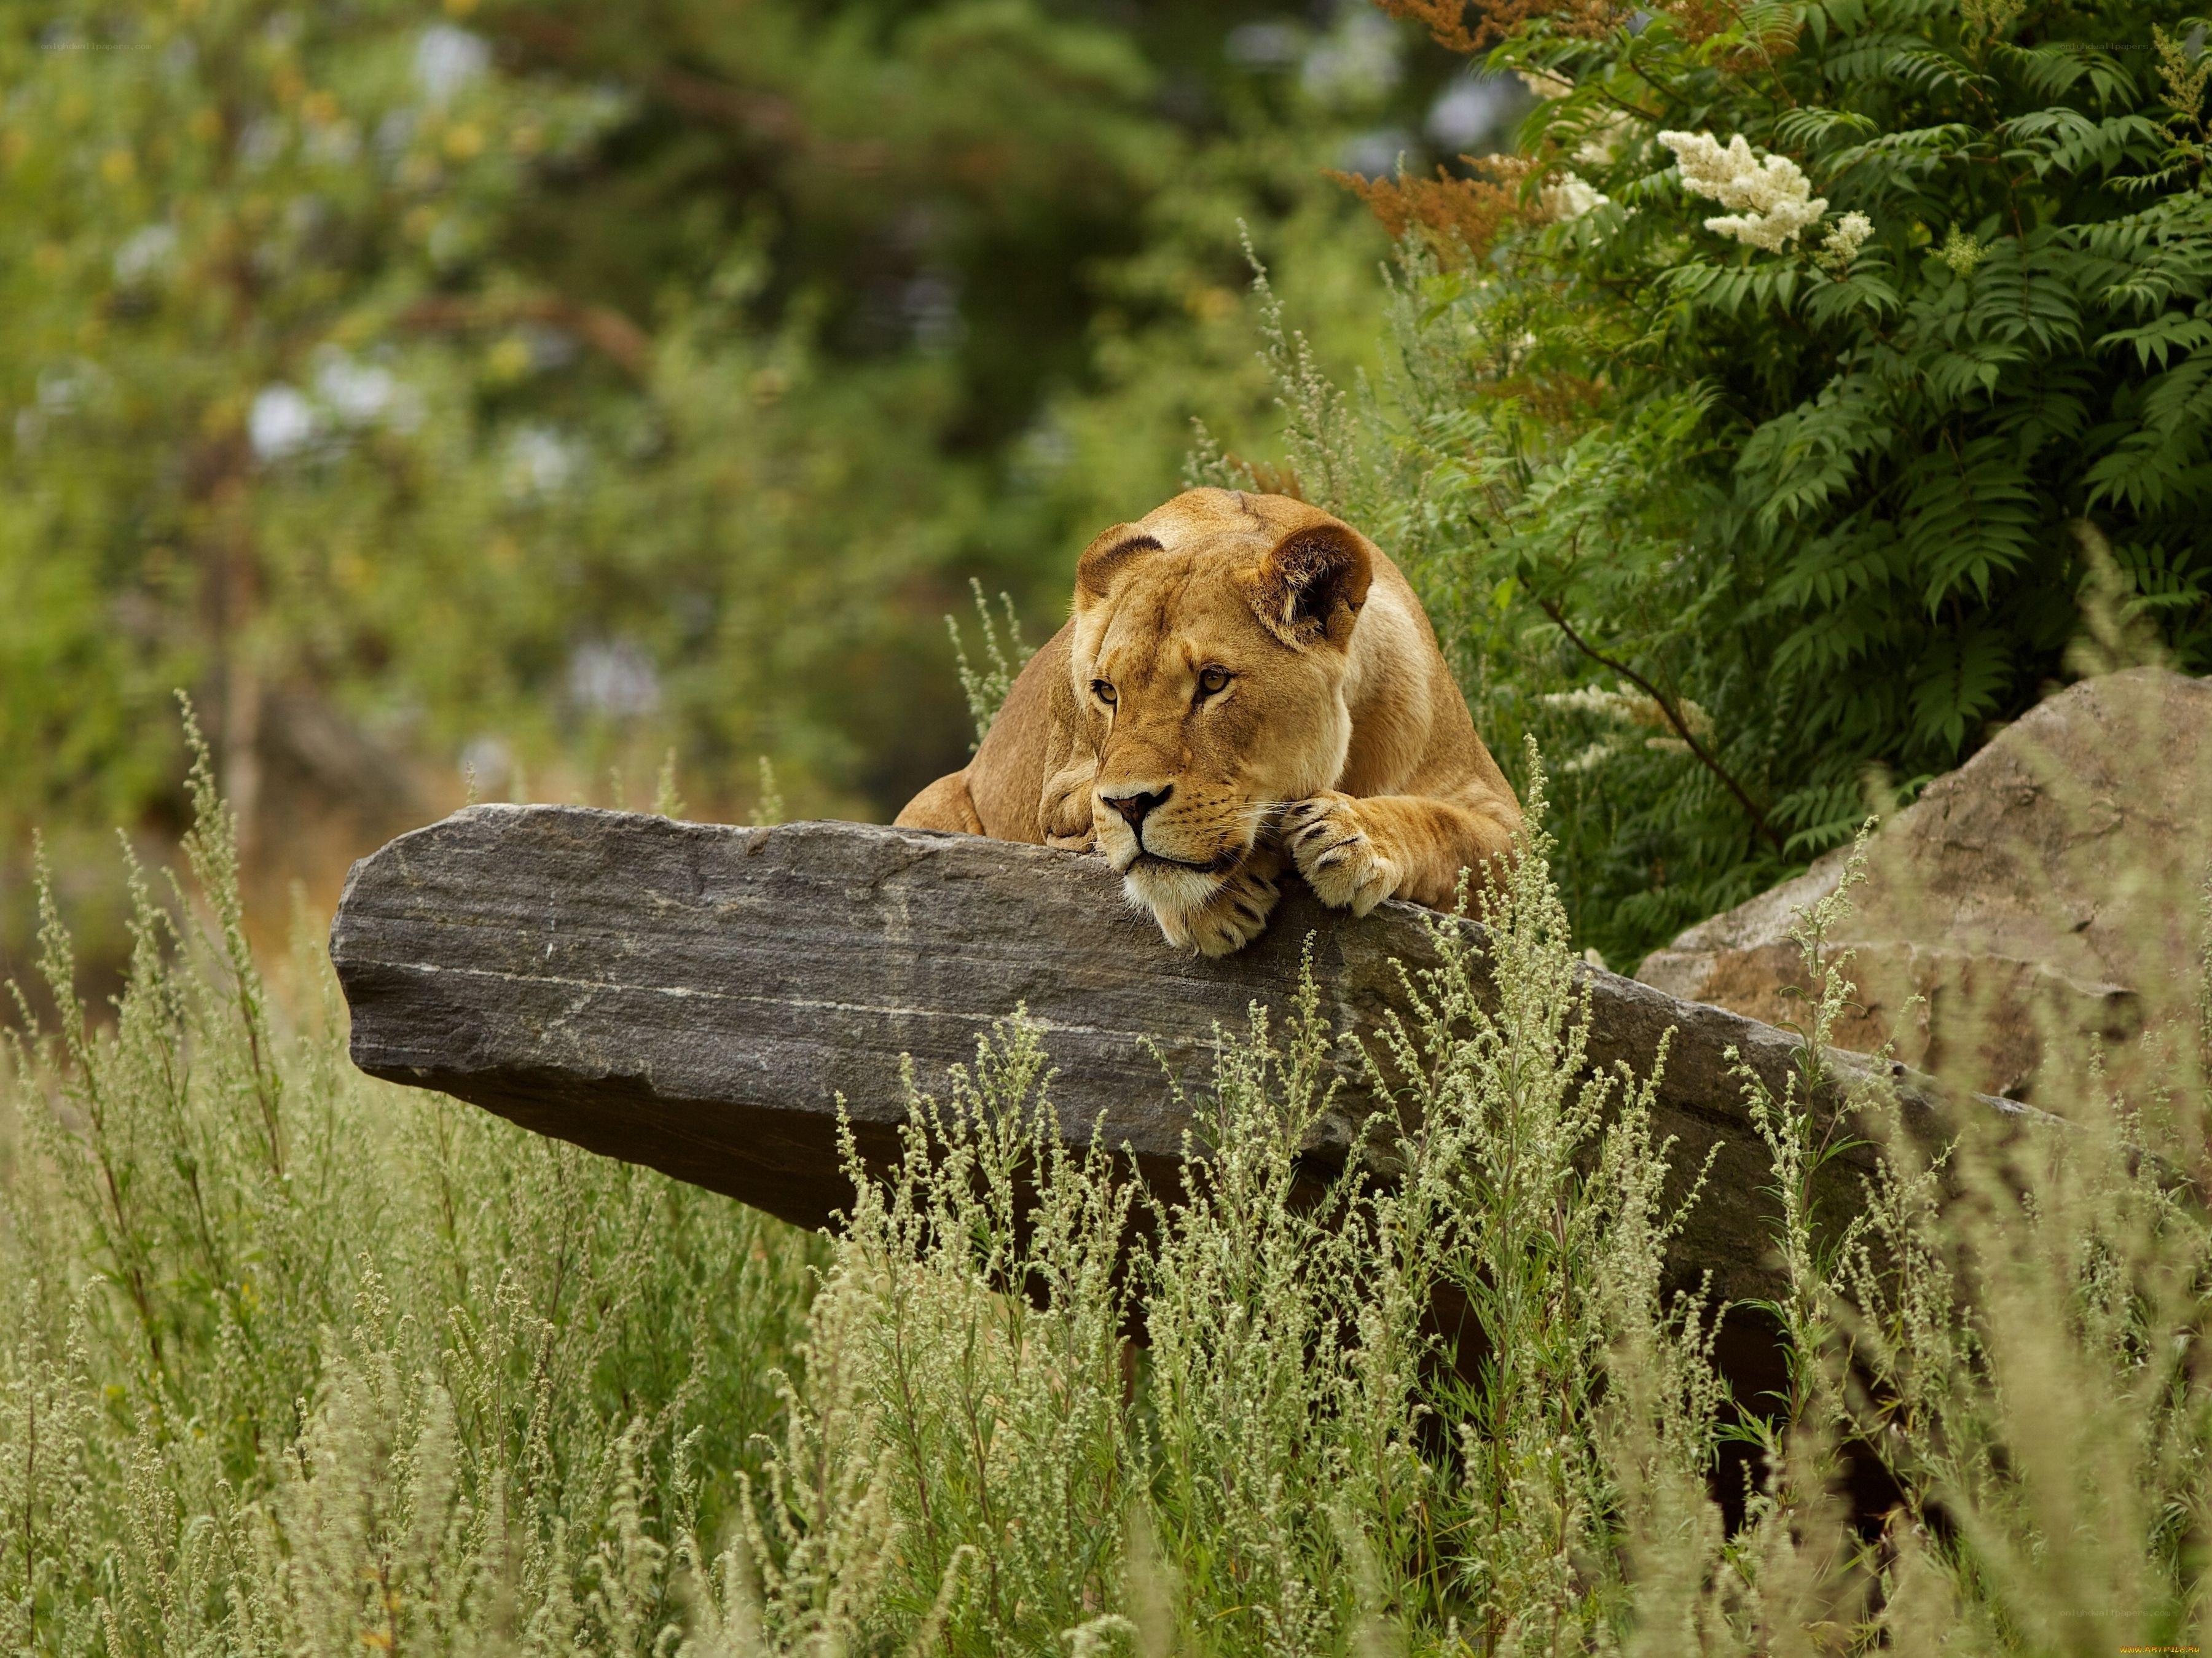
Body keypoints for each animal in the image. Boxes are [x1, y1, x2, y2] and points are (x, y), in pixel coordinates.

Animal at [896, 488, 1523, 955]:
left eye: (1214, 681)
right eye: (1107, 692)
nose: (1130, 805)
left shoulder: (1510, 827)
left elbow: (1446, 830)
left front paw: (1352, 836)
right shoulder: (1060, 800)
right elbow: (1116, 837)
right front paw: (1210, 902)